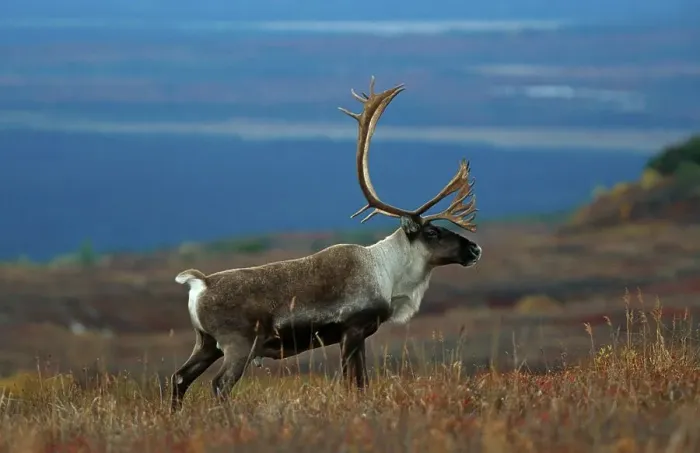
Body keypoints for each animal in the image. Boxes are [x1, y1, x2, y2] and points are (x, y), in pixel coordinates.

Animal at [169, 77, 482, 411]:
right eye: (433, 232)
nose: (474, 249)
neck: (389, 273)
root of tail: (200, 283)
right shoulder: (351, 330)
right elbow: (353, 383)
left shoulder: (362, 335)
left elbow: (362, 382)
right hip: (238, 344)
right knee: (219, 384)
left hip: (206, 343)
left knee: (179, 377)